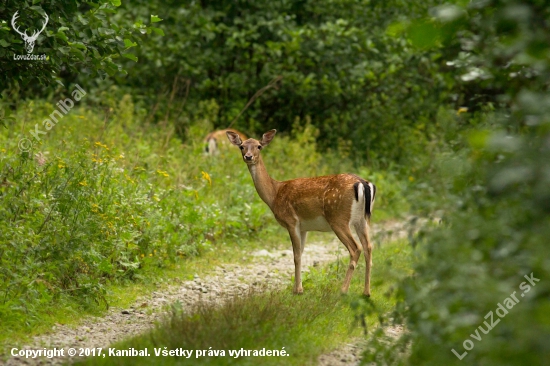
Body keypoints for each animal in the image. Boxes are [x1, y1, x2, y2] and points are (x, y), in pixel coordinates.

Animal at [226, 130, 378, 296]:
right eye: (241, 146)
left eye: (259, 146)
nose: (248, 157)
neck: (274, 194)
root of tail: (363, 184)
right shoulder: (304, 227)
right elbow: (302, 252)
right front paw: (298, 287)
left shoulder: (291, 221)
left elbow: (296, 256)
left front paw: (297, 290)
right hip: (362, 219)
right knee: (369, 247)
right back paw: (366, 292)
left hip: (338, 218)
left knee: (356, 248)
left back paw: (343, 290)